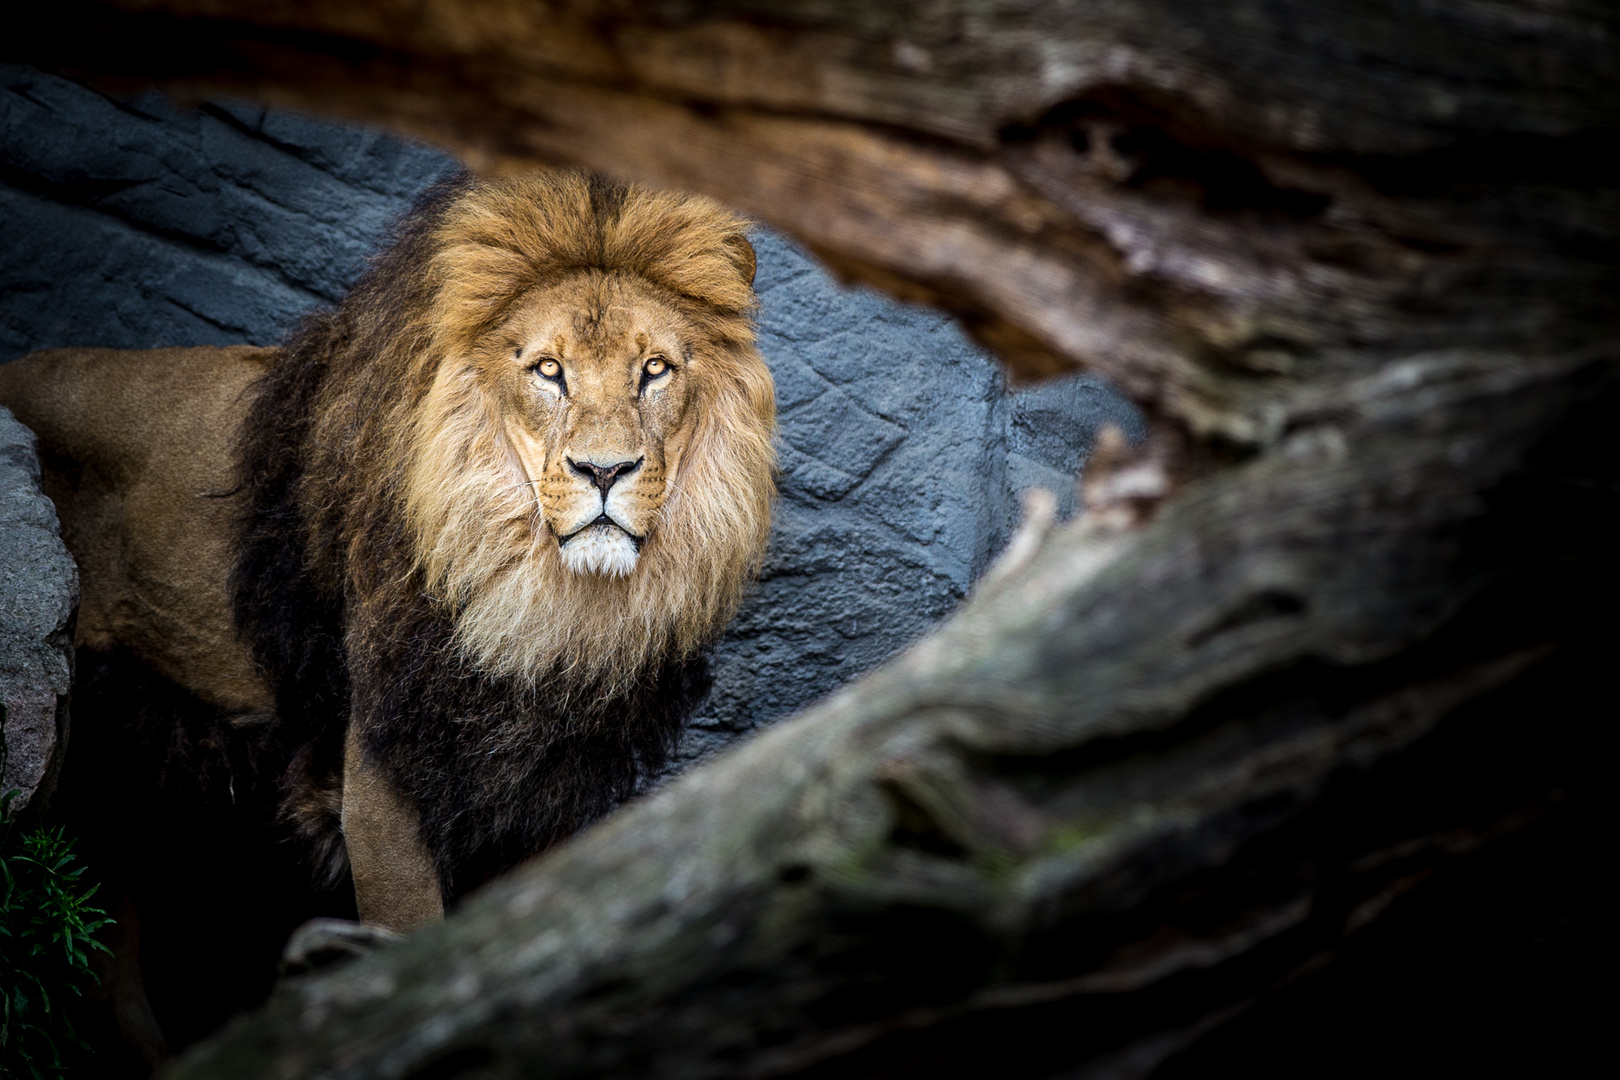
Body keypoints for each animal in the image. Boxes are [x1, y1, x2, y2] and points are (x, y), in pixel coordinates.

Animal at [0, 170, 774, 945]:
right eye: (549, 371)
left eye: (655, 370)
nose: (605, 470)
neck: (539, 605)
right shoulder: (380, 777)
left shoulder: (548, 791)